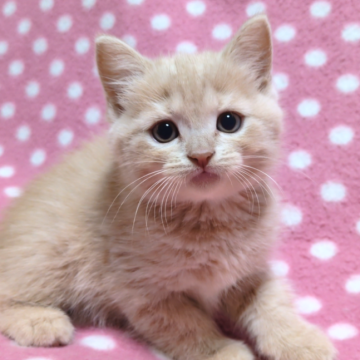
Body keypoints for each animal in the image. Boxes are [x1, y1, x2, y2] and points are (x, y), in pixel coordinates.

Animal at [0, 14, 338, 360]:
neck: (208, 221)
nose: (201, 155)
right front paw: (222, 351)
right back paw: (40, 321)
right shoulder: (143, 292)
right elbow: (187, 325)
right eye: (164, 131)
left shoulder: (251, 270)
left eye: (229, 121)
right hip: (50, 252)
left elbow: (272, 301)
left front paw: (299, 340)